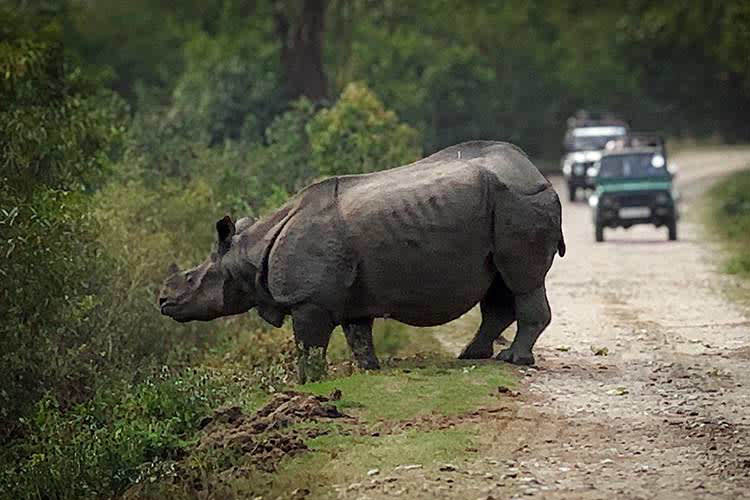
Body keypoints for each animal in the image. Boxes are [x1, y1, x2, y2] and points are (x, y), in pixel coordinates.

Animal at [159, 141, 564, 382]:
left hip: (519, 203)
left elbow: (308, 345)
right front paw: (368, 370)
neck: (249, 252)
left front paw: (308, 382)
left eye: (192, 278)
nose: (163, 301)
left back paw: (514, 360)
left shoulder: (310, 300)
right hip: (503, 208)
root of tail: (538, 174)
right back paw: (472, 356)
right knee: (499, 285)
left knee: (522, 280)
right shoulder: (351, 298)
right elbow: (358, 337)